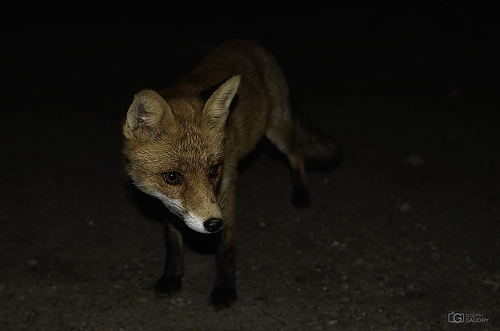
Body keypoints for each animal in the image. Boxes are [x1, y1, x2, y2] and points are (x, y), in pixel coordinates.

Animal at [122, 39, 338, 312]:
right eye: (172, 177)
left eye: (214, 170)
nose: (213, 224)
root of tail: (249, 42)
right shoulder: (166, 203)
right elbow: (172, 242)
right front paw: (172, 277)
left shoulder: (226, 190)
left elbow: (225, 247)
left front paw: (225, 289)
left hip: (277, 127)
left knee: (296, 153)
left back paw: (301, 192)